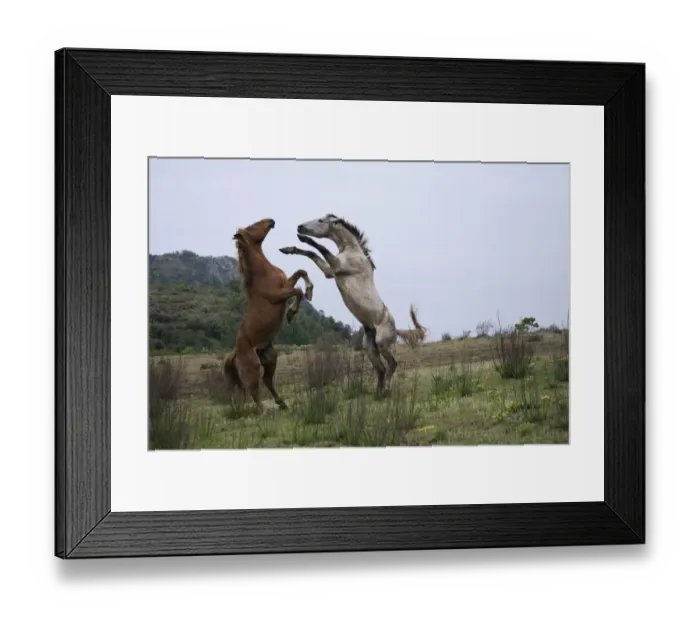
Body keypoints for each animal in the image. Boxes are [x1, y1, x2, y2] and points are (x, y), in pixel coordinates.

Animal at [223, 217, 314, 413]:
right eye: (251, 227)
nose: (271, 220)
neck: (262, 274)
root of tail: (235, 353)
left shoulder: (285, 283)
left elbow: (301, 272)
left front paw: (310, 290)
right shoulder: (278, 295)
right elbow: (297, 291)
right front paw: (291, 313)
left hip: (271, 358)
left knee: (266, 381)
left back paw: (282, 404)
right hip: (253, 367)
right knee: (253, 389)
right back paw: (264, 412)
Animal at [279, 213, 427, 394]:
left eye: (321, 220)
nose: (300, 227)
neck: (352, 251)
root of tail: (395, 328)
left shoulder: (338, 266)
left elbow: (320, 248)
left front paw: (304, 239)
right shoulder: (330, 271)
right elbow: (312, 253)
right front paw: (288, 249)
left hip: (382, 343)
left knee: (392, 364)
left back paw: (385, 390)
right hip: (370, 347)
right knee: (381, 369)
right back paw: (378, 393)